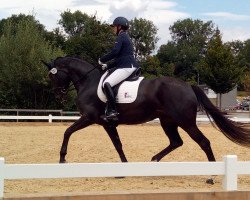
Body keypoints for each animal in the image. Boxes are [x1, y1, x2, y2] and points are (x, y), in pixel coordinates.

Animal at [42, 55, 250, 173]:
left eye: (53, 75)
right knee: (176, 142)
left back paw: (211, 175)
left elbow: (67, 132)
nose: (59, 96)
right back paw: (153, 160)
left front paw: (62, 158)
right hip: (168, 121)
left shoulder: (89, 118)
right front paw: (124, 167)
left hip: (186, 122)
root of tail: (188, 86)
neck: (89, 82)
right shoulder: (108, 124)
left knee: (203, 142)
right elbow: (118, 145)